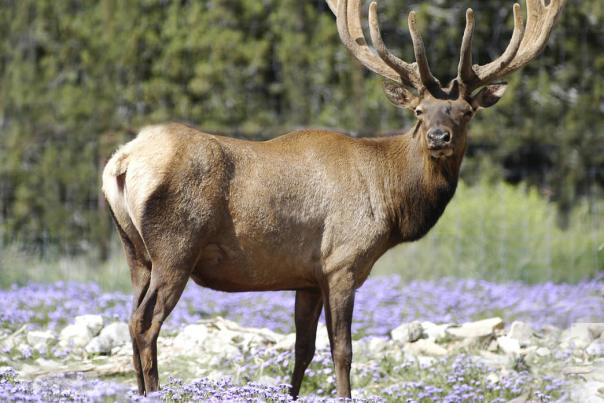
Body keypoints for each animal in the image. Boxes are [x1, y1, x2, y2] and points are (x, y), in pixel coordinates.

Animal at [101, 0, 564, 398]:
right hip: (176, 247)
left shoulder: (307, 276)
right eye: (419, 112)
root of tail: (122, 162)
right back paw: (155, 392)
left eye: (465, 112)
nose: (438, 137)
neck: (391, 200)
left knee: (130, 318)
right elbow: (342, 350)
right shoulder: (342, 261)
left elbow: (302, 351)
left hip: (136, 253)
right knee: (145, 323)